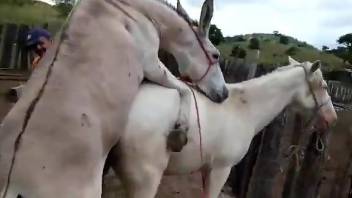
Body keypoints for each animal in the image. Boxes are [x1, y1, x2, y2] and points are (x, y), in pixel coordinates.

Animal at [0, 0, 228, 197]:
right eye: (215, 55)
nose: (224, 94)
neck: (132, 8)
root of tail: (12, 185)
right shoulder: (151, 65)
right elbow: (184, 89)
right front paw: (179, 133)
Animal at [110, 57, 338, 198]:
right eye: (324, 86)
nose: (332, 118)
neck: (243, 108)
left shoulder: (207, 169)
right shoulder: (221, 169)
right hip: (145, 180)